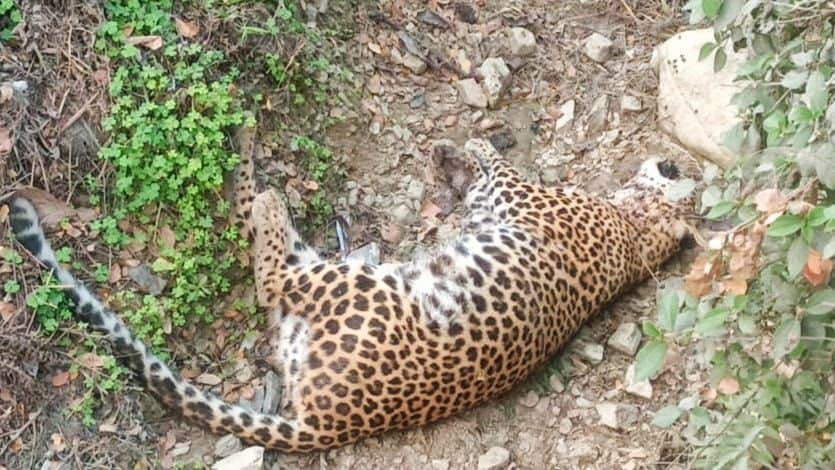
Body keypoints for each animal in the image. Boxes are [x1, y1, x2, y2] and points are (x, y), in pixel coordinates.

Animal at [9, 134, 694, 453]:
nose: (674, 160)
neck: (639, 230)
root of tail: (321, 425)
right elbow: (475, 179)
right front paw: (449, 163)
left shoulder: (520, 198)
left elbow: (499, 166)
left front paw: (467, 147)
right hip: (315, 292)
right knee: (265, 249)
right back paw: (252, 161)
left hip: (344, 284)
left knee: (270, 272)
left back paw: (265, 188)